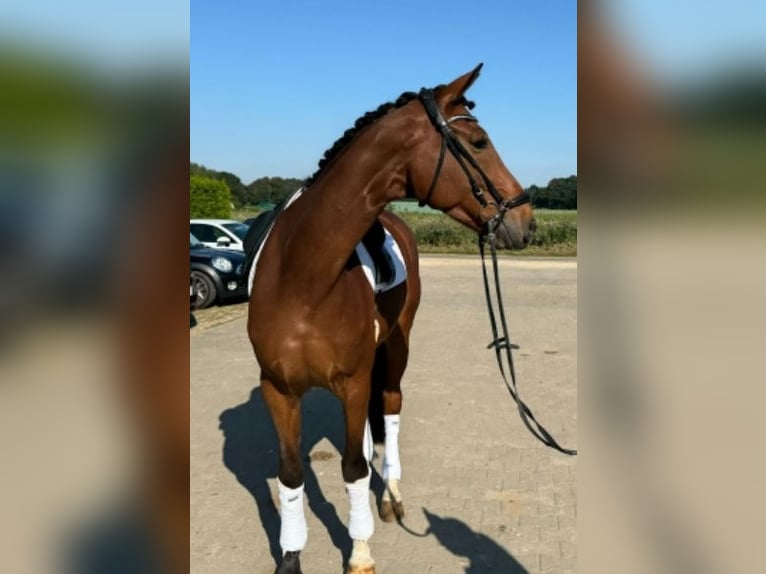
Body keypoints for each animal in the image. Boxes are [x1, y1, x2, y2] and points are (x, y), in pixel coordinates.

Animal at [246, 64, 536, 574]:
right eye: (479, 142)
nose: (527, 220)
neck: (302, 276)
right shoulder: (278, 390)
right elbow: (292, 473)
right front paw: (290, 556)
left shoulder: (353, 381)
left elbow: (353, 468)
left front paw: (360, 551)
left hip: (397, 347)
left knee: (391, 407)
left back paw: (391, 496)